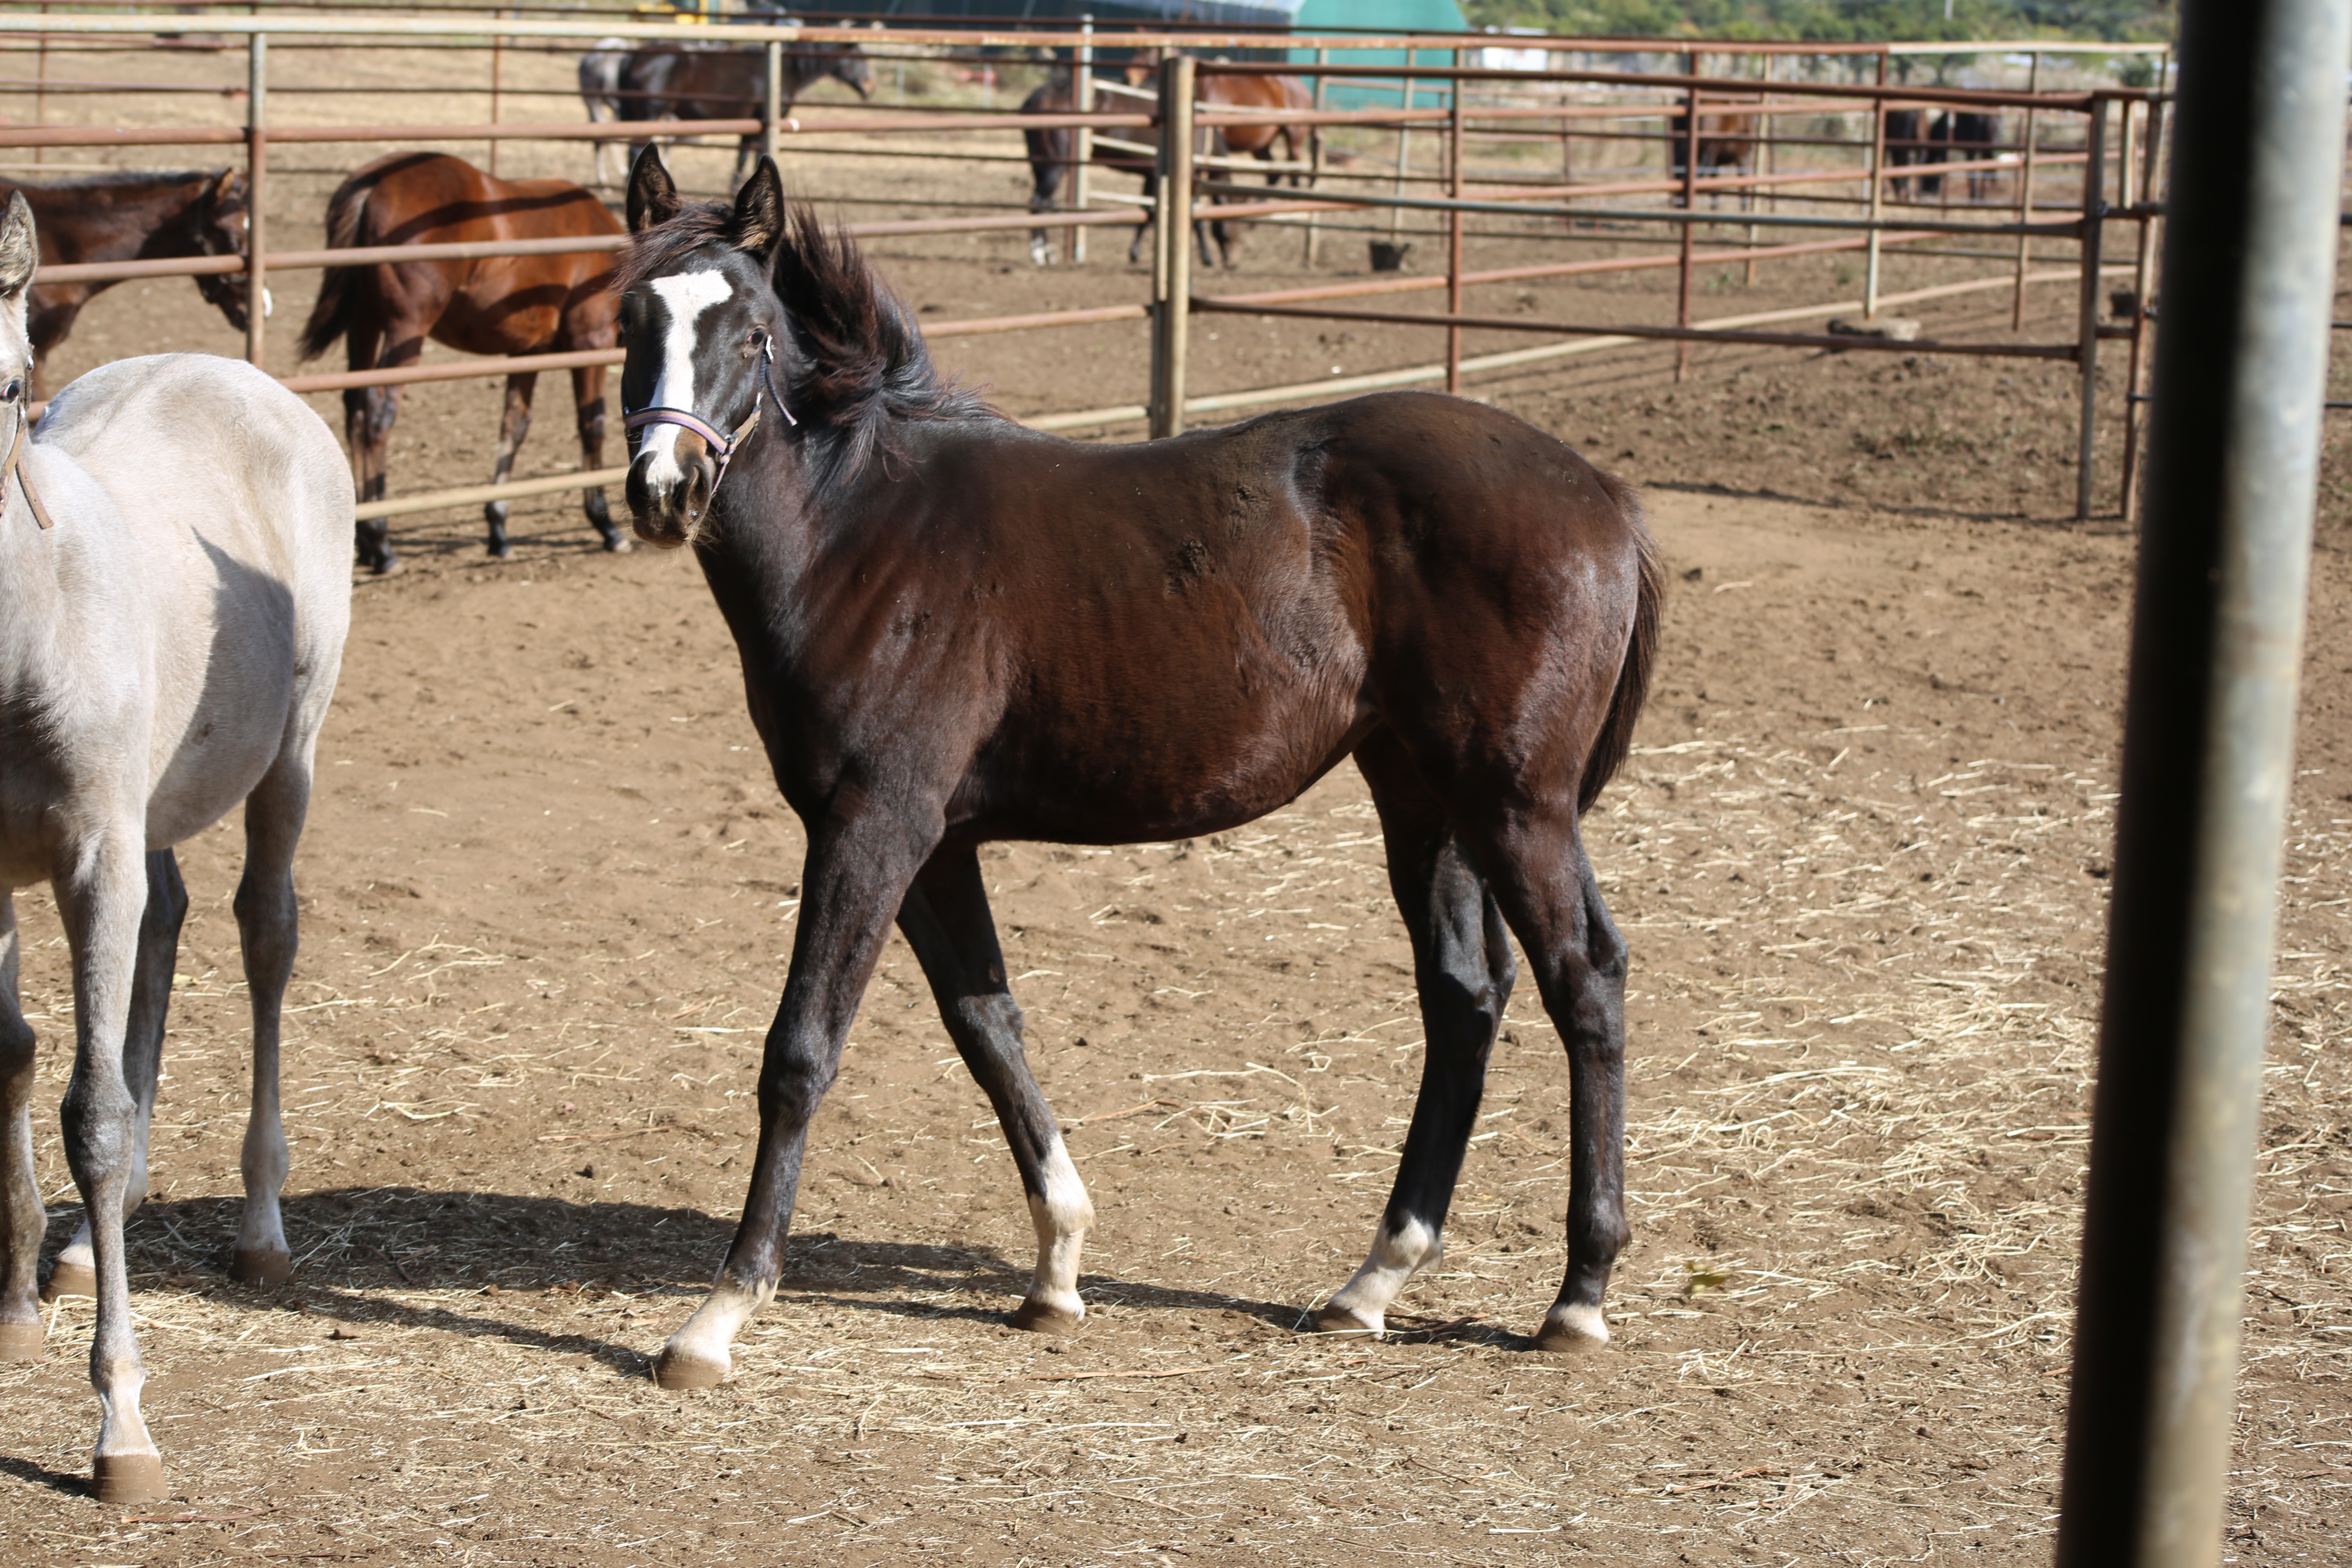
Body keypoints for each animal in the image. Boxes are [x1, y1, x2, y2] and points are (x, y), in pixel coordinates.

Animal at [0, 190, 355, 1504]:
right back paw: (81, 1251)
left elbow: (92, 1113)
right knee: (167, 923)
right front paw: (19, 1295)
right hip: (150, 808)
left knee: (264, 937)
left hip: (289, 754)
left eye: (10, 387)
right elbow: (14, 1054)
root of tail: (239, 375)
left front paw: (121, 1425)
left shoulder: (89, 852)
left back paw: (260, 1229)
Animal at [298, 149, 630, 571]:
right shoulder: (589, 342)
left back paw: (364, 539)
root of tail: (376, 180)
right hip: (406, 327)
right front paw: (605, 525)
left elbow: (514, 426)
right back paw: (381, 543)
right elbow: (593, 425)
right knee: (377, 415)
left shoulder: (528, 352)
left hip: (365, 322)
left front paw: (499, 529)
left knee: (355, 410)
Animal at [583, 38, 880, 187]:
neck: (784, 71)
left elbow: (742, 160)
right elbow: (751, 160)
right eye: (859, 58)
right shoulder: (760, 125)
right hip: (649, 115)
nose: (869, 86)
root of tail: (632, 55)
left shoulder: (750, 126)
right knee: (635, 150)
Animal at [616, 153, 1665, 1392]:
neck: (862, 529)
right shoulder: (937, 841)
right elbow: (988, 1024)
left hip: (1517, 804)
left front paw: (717, 1315)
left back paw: (1578, 1295)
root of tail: (1604, 493)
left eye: (748, 332)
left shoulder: (872, 822)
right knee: (1464, 998)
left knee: (1583, 977)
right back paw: (1371, 1282)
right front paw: (1058, 1269)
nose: (664, 489)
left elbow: (801, 1050)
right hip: (1424, 797)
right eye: (632, 319)